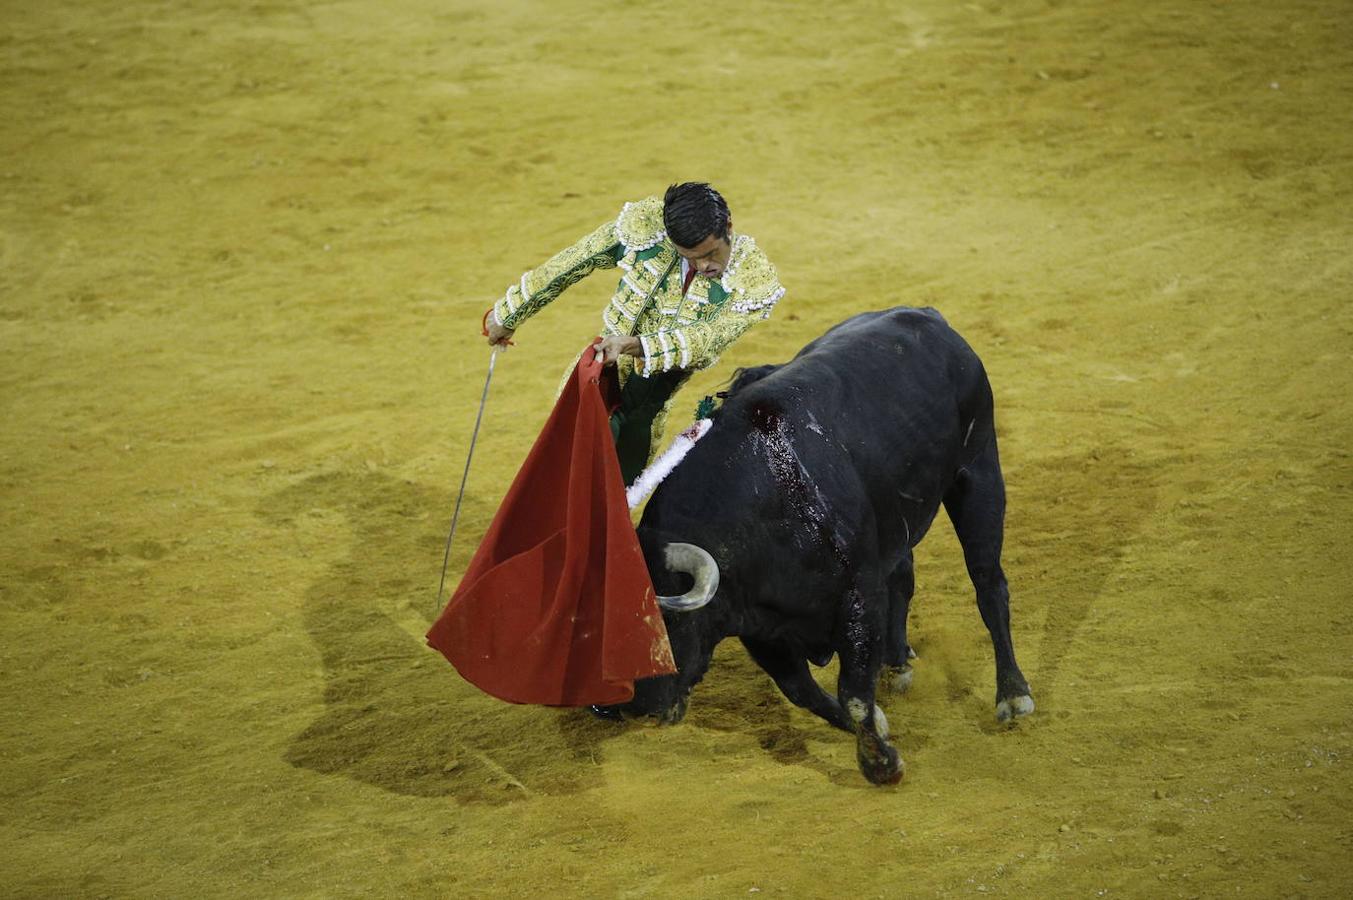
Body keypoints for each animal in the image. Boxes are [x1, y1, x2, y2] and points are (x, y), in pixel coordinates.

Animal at [603, 305, 1033, 784]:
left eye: (662, 626)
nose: (625, 708)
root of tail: (928, 316)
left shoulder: (858, 599)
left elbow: (854, 693)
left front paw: (882, 765)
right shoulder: (759, 627)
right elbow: (805, 693)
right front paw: (880, 728)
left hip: (979, 472)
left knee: (988, 584)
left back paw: (1012, 695)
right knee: (903, 577)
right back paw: (898, 662)